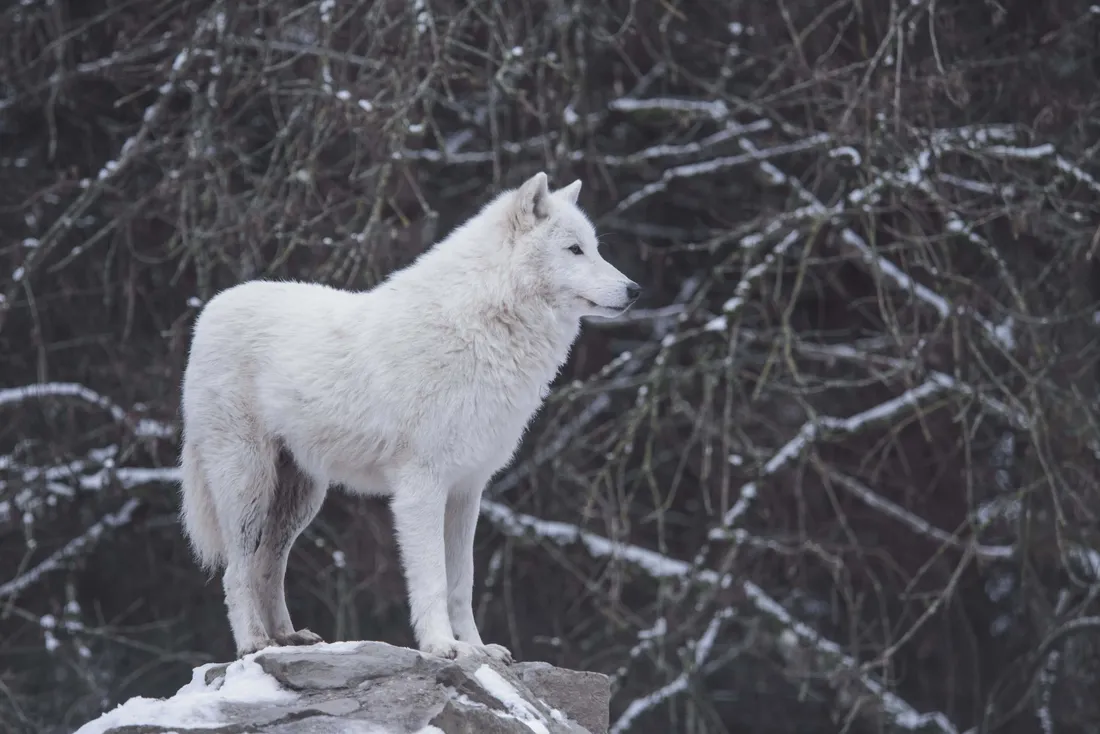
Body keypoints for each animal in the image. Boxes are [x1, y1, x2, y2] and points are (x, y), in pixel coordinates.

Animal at [178, 172, 640, 660]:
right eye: (574, 249)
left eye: (595, 247)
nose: (635, 290)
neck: (480, 329)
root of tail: (211, 309)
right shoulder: (421, 487)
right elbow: (433, 579)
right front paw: (442, 646)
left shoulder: (467, 490)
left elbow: (462, 582)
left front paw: (478, 648)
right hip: (248, 485)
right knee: (237, 570)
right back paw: (254, 642)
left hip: (301, 498)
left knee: (270, 565)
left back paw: (288, 638)